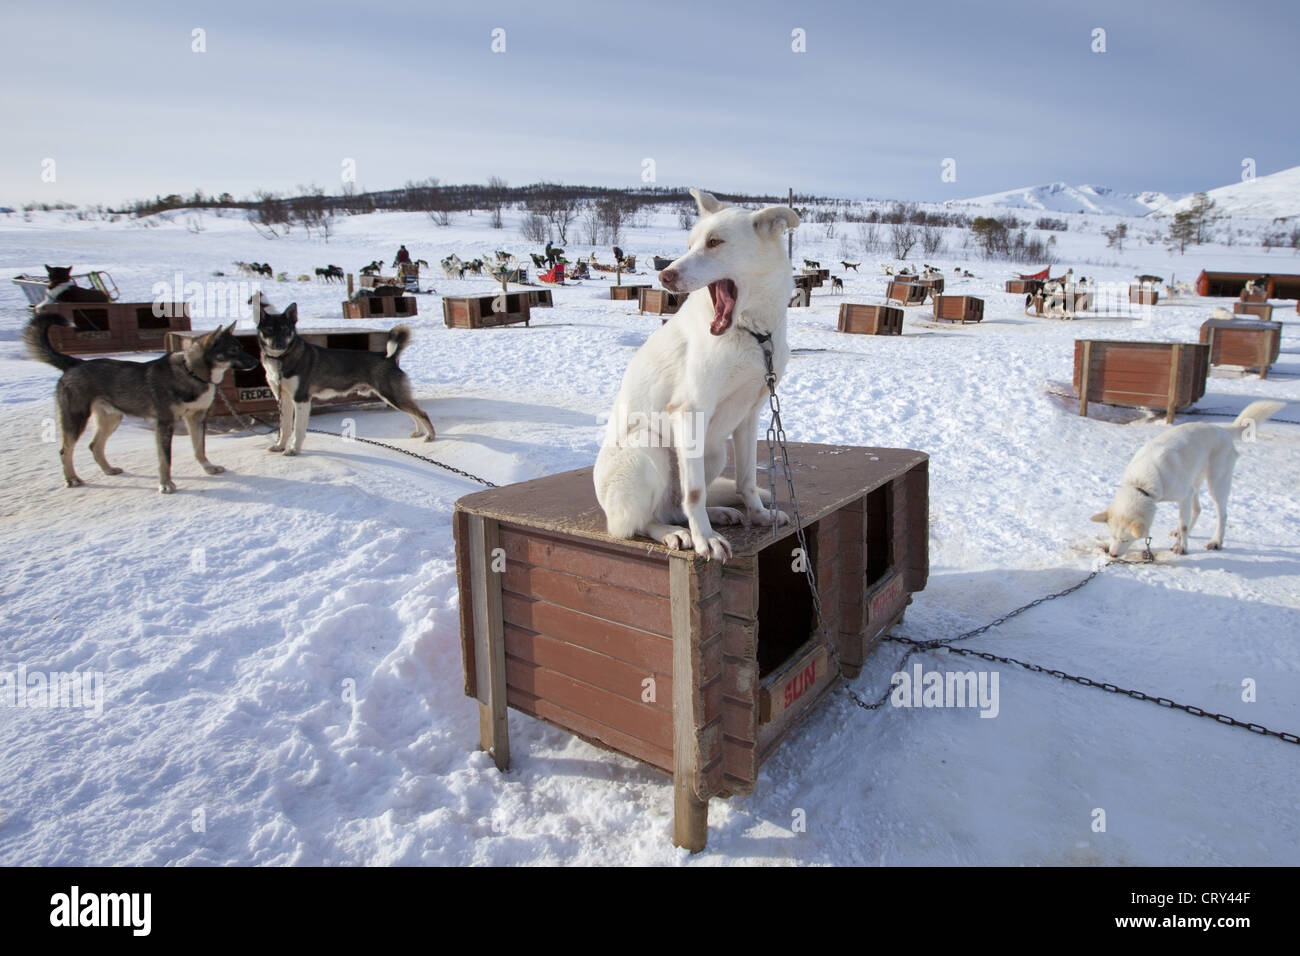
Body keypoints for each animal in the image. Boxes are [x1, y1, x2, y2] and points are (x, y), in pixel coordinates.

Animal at [595, 187, 795, 561]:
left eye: (714, 242)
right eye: (689, 244)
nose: (665, 276)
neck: (752, 334)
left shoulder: (750, 415)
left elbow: (746, 479)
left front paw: (758, 514)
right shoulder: (688, 411)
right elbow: (696, 493)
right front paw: (705, 540)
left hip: (713, 451)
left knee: (674, 506)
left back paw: (716, 514)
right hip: (649, 446)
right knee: (638, 523)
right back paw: (675, 533)